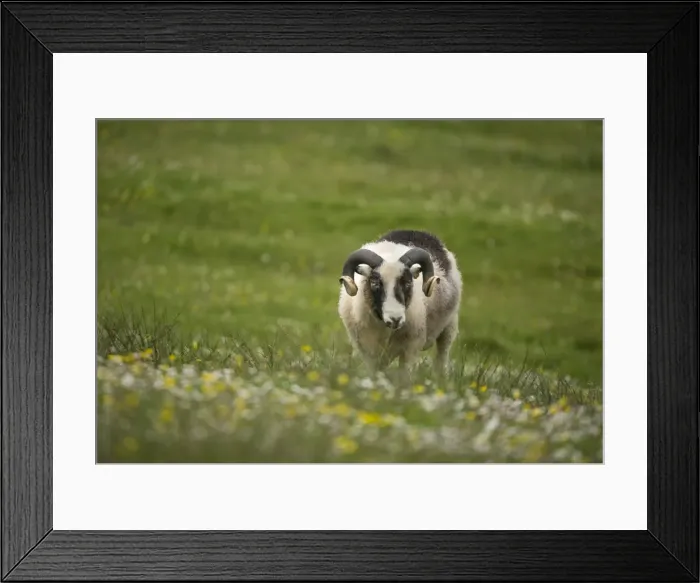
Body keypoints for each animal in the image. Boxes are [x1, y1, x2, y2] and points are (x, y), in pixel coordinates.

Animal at [337, 229, 462, 381]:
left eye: (408, 283)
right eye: (375, 283)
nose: (395, 319)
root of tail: (414, 231)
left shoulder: (411, 348)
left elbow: (405, 378)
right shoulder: (367, 351)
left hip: (450, 324)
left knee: (442, 355)